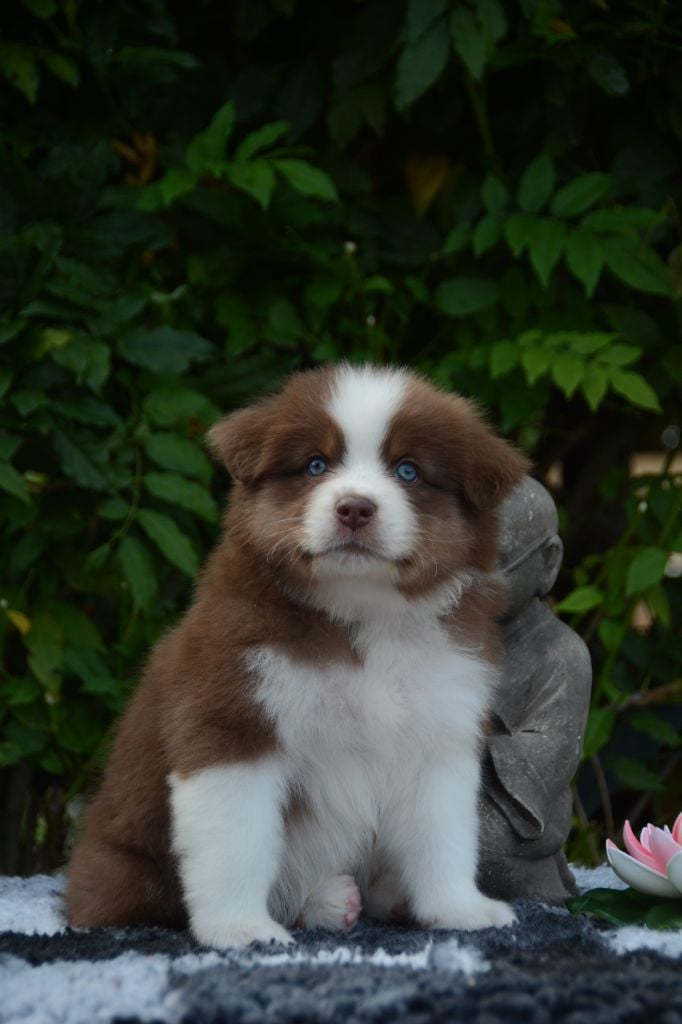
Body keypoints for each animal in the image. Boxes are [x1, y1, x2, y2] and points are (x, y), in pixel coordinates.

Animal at [66, 364, 529, 948]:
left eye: (408, 471)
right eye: (315, 465)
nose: (354, 508)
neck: (362, 614)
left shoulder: (439, 733)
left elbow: (443, 837)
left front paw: (460, 909)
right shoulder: (232, 721)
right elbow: (237, 843)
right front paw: (240, 929)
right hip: (127, 869)